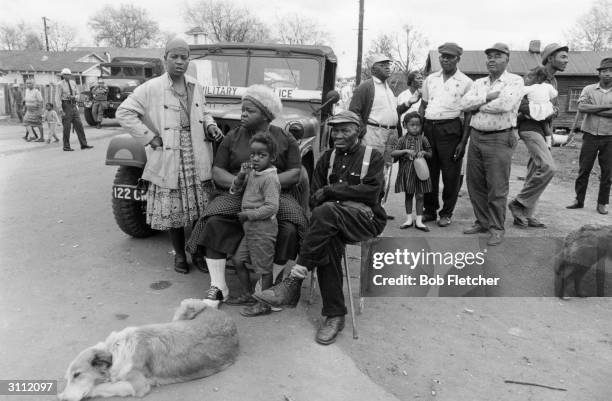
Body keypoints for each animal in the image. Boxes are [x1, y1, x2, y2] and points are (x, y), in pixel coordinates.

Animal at [57, 298, 238, 398]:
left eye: (77, 375)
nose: (63, 400)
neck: (116, 351)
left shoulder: (138, 385)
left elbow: (103, 387)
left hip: (187, 303)